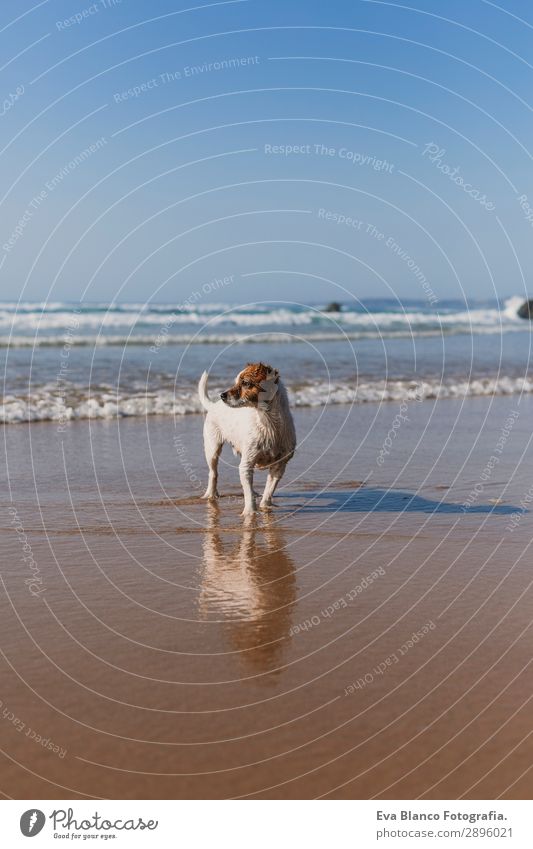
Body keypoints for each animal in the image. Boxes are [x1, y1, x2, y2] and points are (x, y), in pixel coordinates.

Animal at [197, 362, 296, 512]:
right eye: (236, 382)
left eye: (245, 383)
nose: (222, 395)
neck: (268, 423)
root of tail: (213, 405)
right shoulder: (246, 463)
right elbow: (248, 494)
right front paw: (250, 512)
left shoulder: (279, 465)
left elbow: (269, 490)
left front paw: (265, 507)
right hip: (212, 448)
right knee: (213, 473)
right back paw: (211, 494)